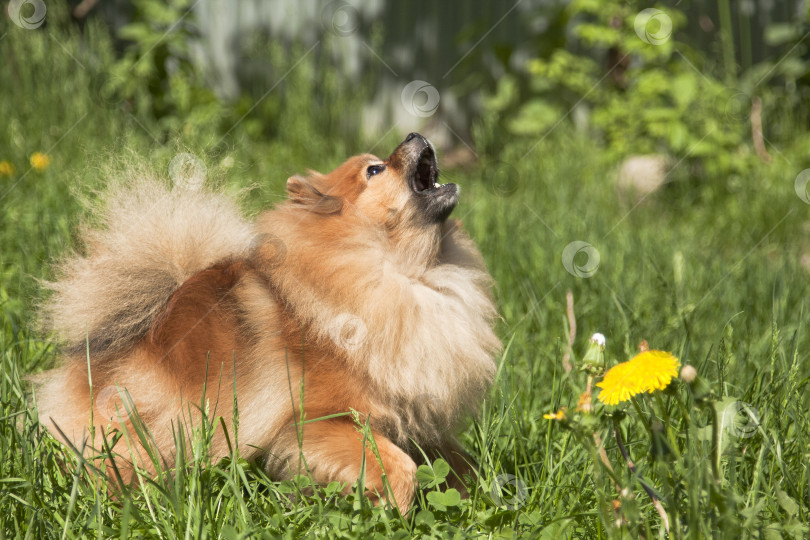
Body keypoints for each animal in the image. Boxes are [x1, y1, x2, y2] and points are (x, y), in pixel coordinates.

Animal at [34, 133, 502, 512]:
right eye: (374, 169)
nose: (414, 134)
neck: (406, 272)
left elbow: (462, 464)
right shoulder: (317, 420)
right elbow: (400, 468)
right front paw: (395, 513)